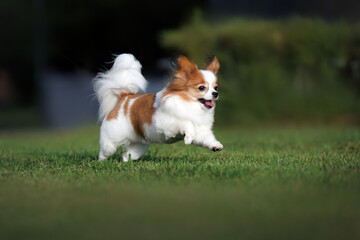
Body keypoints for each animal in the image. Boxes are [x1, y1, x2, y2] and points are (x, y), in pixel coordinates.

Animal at [93, 53, 222, 161]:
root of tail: (124, 97)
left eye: (215, 87)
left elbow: (206, 138)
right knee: (105, 150)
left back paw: (125, 159)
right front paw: (188, 136)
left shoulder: (201, 131)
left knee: (128, 154)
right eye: (202, 88)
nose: (215, 94)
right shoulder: (166, 123)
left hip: (139, 145)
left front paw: (216, 146)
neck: (190, 103)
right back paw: (101, 161)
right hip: (112, 140)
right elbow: (186, 122)